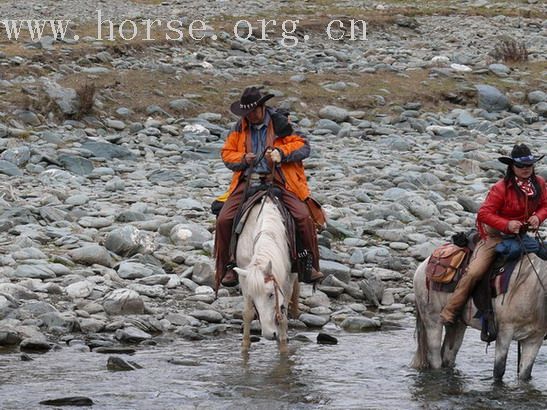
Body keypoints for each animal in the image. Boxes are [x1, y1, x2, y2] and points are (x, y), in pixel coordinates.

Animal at [232, 195, 300, 352]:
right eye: (254, 298)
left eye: (271, 294)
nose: (270, 334)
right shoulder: (245, 278)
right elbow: (247, 313)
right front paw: (245, 346)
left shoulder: (287, 280)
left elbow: (283, 315)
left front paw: (283, 346)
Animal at [414, 256, 547, 382]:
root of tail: (422, 266)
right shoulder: (505, 332)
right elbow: (499, 370)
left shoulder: (535, 339)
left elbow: (525, 374)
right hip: (432, 320)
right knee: (435, 357)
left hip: (457, 324)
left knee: (448, 354)